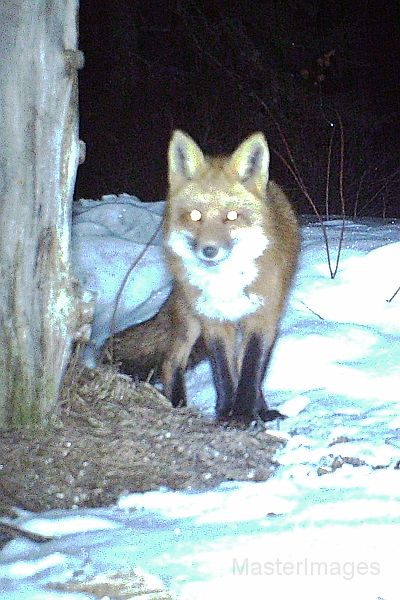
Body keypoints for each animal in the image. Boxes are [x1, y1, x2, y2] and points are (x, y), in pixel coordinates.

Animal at [111, 130, 298, 422]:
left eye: (232, 216)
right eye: (195, 215)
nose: (209, 250)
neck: (226, 281)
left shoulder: (263, 318)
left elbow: (250, 370)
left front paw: (243, 414)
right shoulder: (213, 320)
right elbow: (224, 372)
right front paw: (227, 414)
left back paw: (260, 410)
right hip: (190, 318)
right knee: (170, 361)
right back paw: (178, 404)